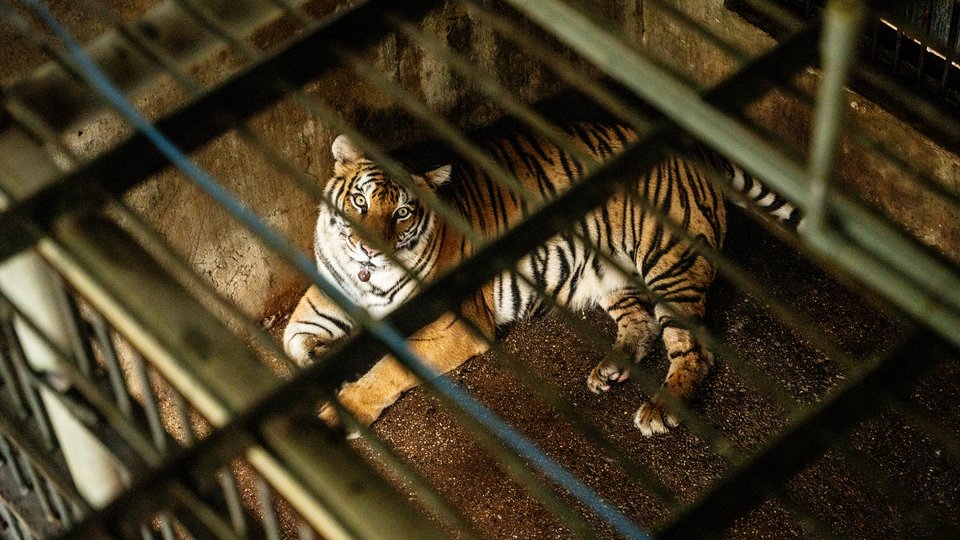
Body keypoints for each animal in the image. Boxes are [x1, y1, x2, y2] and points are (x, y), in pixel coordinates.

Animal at [282, 123, 800, 436]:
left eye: (403, 213)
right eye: (361, 201)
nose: (371, 249)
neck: (363, 276)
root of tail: (688, 147)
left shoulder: (454, 326)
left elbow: (389, 367)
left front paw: (345, 406)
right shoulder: (322, 299)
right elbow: (294, 340)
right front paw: (323, 356)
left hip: (669, 262)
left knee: (694, 347)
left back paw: (661, 408)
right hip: (614, 273)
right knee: (642, 322)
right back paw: (609, 369)